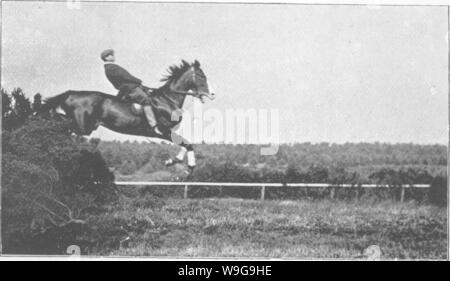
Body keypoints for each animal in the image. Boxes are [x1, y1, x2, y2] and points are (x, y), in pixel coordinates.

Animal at [40, 60, 214, 170]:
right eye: (202, 76)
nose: (212, 95)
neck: (167, 99)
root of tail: (71, 93)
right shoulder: (163, 132)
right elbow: (187, 143)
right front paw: (189, 165)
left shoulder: (167, 133)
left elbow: (185, 142)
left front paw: (173, 160)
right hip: (83, 126)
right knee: (60, 125)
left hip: (84, 125)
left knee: (59, 123)